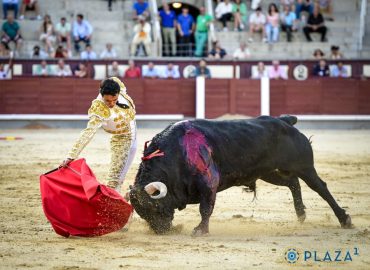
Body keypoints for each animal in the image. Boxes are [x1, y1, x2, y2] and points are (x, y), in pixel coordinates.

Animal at [130, 115, 352, 234]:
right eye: (141, 212)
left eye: (155, 207)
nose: (161, 231)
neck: (174, 153)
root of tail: (285, 121)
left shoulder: (209, 183)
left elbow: (205, 209)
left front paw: (200, 230)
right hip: (268, 172)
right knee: (293, 183)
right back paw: (301, 214)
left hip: (304, 166)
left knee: (320, 187)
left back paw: (344, 220)